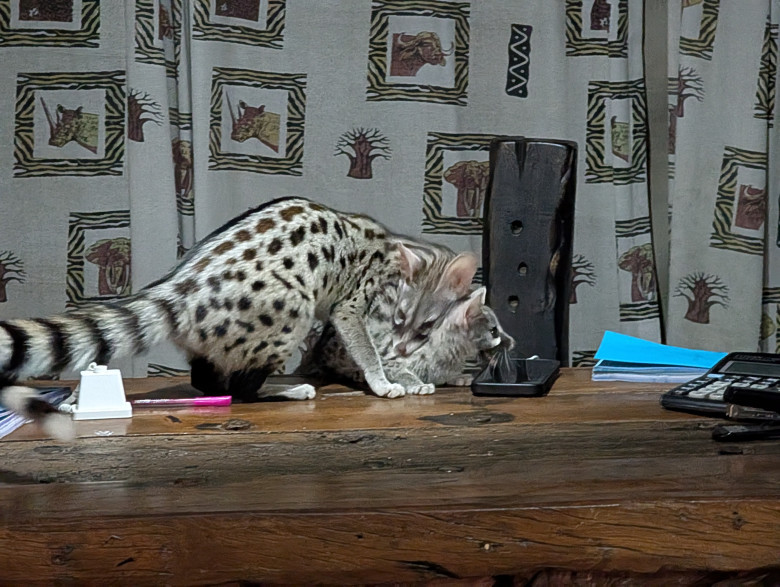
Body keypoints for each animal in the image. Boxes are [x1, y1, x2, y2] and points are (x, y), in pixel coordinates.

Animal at [0, 196, 477, 437]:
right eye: (401, 318)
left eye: (425, 325)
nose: (403, 343)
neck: (403, 256)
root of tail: (180, 288)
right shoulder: (354, 302)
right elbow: (362, 343)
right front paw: (385, 379)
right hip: (291, 309)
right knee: (243, 389)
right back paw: (280, 390)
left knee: (207, 380)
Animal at [297, 286, 515, 393]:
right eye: (494, 331)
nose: (513, 342)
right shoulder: (387, 357)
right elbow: (399, 370)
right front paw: (417, 383)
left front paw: (454, 376)